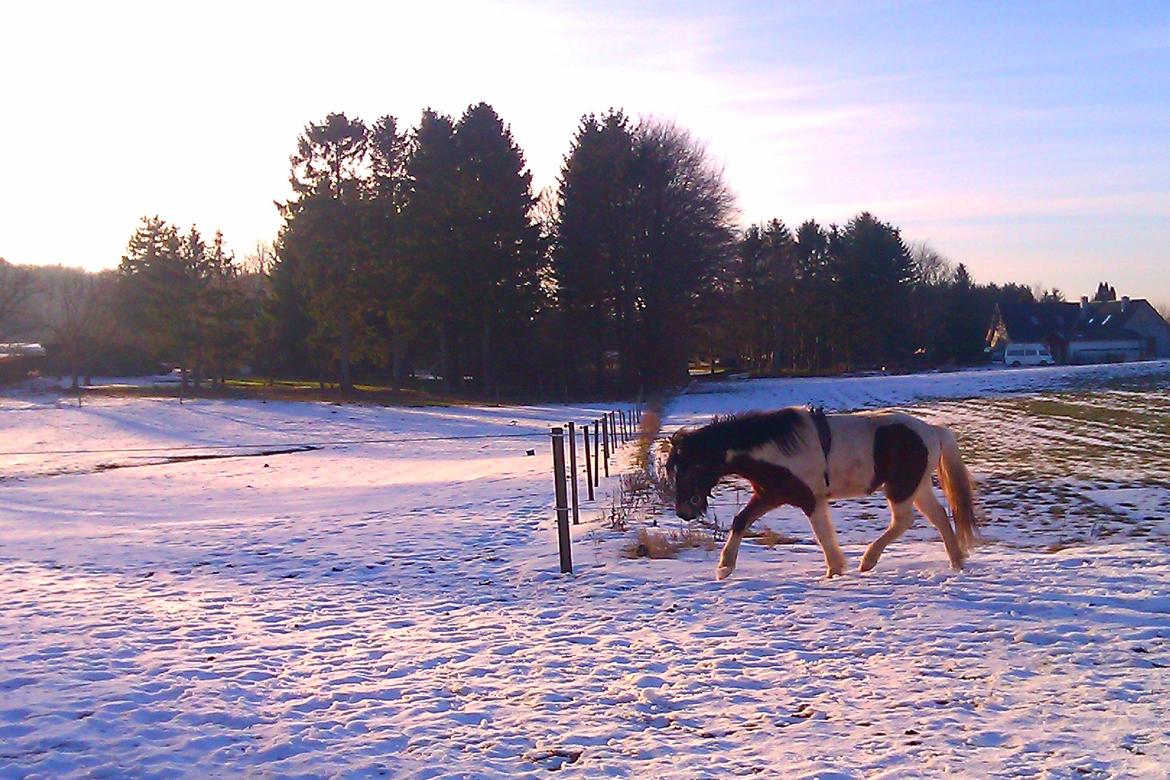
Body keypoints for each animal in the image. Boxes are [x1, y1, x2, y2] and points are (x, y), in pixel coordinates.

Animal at [669, 409, 978, 580]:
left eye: (692, 467)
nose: (683, 511)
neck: (776, 448)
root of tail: (932, 431)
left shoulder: (810, 499)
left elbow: (822, 534)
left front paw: (835, 569)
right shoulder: (771, 494)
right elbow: (740, 521)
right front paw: (724, 567)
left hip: (902, 487)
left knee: (904, 521)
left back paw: (868, 560)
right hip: (917, 486)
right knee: (938, 517)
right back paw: (956, 562)